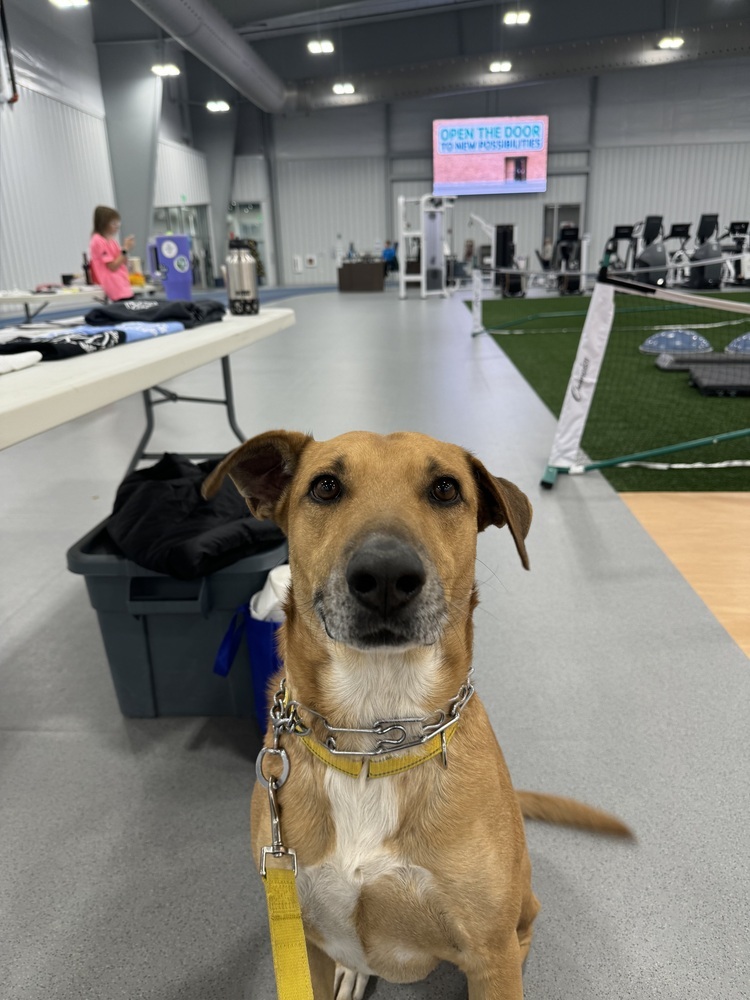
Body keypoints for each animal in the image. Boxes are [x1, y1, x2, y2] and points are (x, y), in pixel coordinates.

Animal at [203, 430, 632, 1000]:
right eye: (325, 486)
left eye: (445, 489)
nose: (385, 575)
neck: (372, 734)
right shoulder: (303, 936)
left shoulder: (489, 955)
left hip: (517, 916)